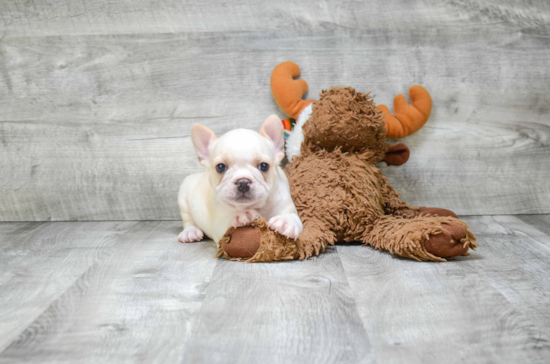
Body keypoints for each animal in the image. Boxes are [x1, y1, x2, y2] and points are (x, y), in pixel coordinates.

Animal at [178, 115, 304, 246]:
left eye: (264, 166)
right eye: (220, 167)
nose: (243, 182)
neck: (254, 206)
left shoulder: (286, 205)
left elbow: (292, 216)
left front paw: (286, 222)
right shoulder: (219, 227)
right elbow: (227, 222)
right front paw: (244, 215)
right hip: (184, 197)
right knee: (188, 220)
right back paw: (190, 232)